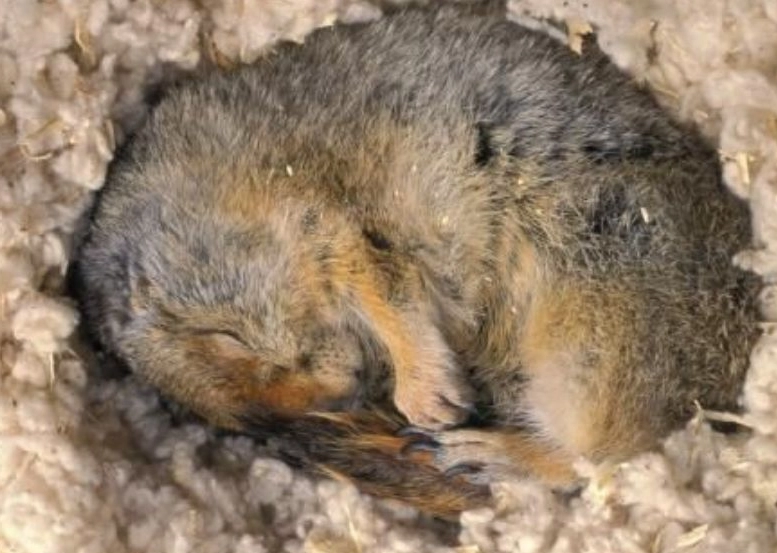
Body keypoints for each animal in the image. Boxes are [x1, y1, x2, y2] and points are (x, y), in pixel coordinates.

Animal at [68, 1, 760, 517]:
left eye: (225, 338)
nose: (348, 387)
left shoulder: (318, 217)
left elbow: (383, 287)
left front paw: (428, 396)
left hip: (593, 337)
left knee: (594, 458)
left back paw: (476, 450)